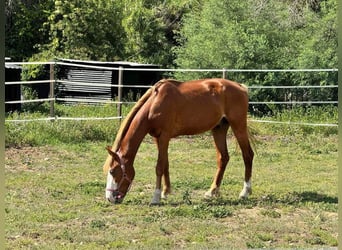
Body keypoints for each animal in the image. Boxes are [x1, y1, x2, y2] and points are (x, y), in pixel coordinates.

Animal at [103, 78, 255, 205]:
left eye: (112, 171)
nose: (110, 198)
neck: (155, 103)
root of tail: (241, 87)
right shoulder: (157, 138)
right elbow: (165, 164)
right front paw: (165, 192)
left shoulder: (164, 136)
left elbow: (159, 166)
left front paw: (156, 197)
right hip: (219, 128)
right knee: (223, 158)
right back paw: (212, 191)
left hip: (238, 126)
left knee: (247, 155)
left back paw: (245, 192)